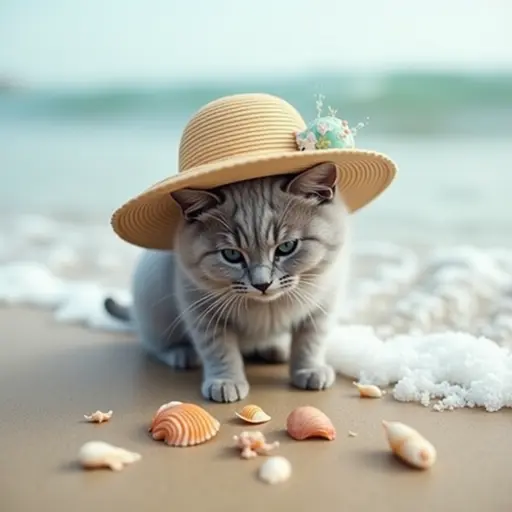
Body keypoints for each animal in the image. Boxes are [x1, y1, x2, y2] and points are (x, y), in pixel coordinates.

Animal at [104, 162, 352, 402]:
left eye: (287, 247)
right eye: (231, 255)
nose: (262, 284)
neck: (266, 308)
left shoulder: (323, 305)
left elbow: (311, 341)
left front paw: (309, 369)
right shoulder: (201, 309)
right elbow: (220, 350)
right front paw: (226, 382)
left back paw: (274, 348)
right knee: (153, 343)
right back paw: (181, 353)